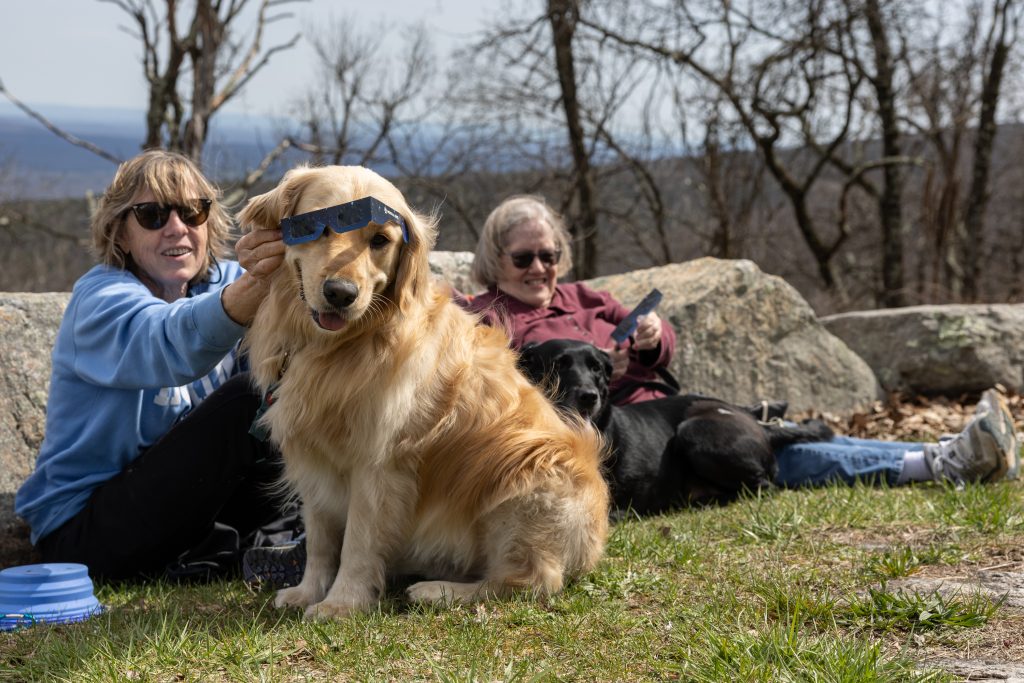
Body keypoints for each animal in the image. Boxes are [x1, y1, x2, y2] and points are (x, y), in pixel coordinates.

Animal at [239, 166, 609, 619]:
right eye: (316, 228)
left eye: (380, 241)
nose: (341, 294)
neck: (340, 347)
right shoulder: (316, 464)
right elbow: (321, 539)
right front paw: (308, 592)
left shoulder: (379, 464)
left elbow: (357, 543)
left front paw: (342, 603)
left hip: (524, 477)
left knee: (529, 581)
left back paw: (437, 591)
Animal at [518, 339, 834, 514]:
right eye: (559, 364)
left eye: (596, 367)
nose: (588, 396)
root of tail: (755, 419)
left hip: (693, 431)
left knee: (764, 486)